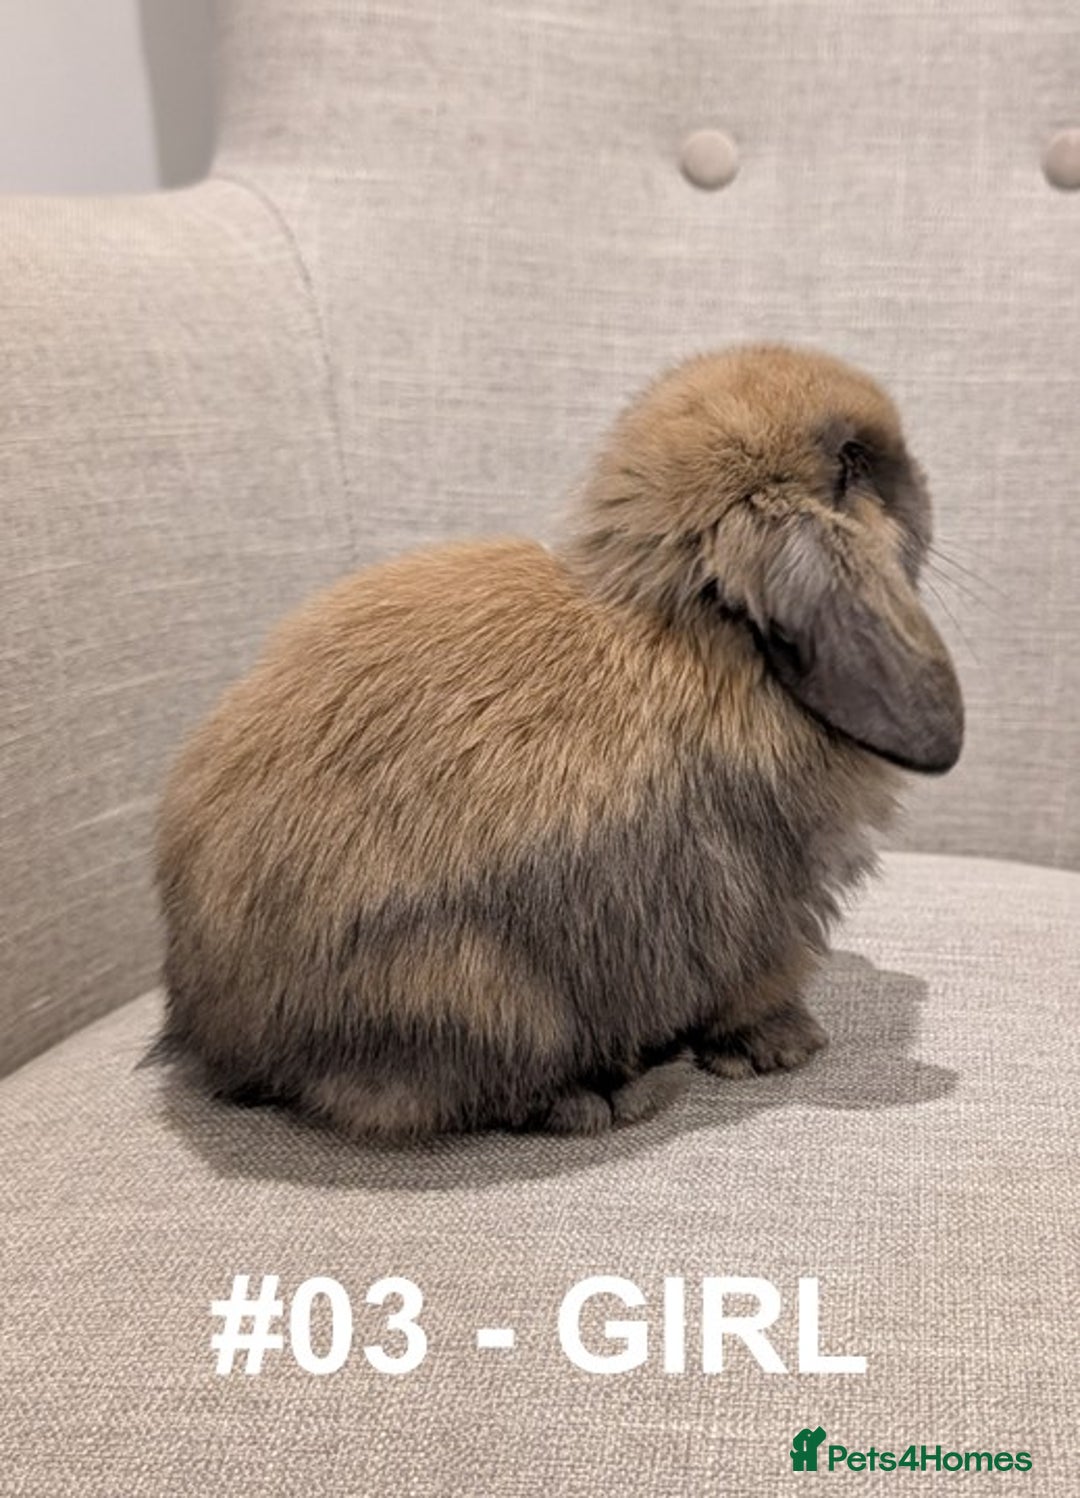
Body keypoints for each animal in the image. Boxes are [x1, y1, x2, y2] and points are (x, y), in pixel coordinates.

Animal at [154, 343, 963, 1139]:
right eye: (853, 461)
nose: (925, 480)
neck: (696, 634)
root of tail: (214, 1033)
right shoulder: (769, 904)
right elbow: (753, 985)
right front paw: (785, 1046)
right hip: (483, 991)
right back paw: (608, 1093)